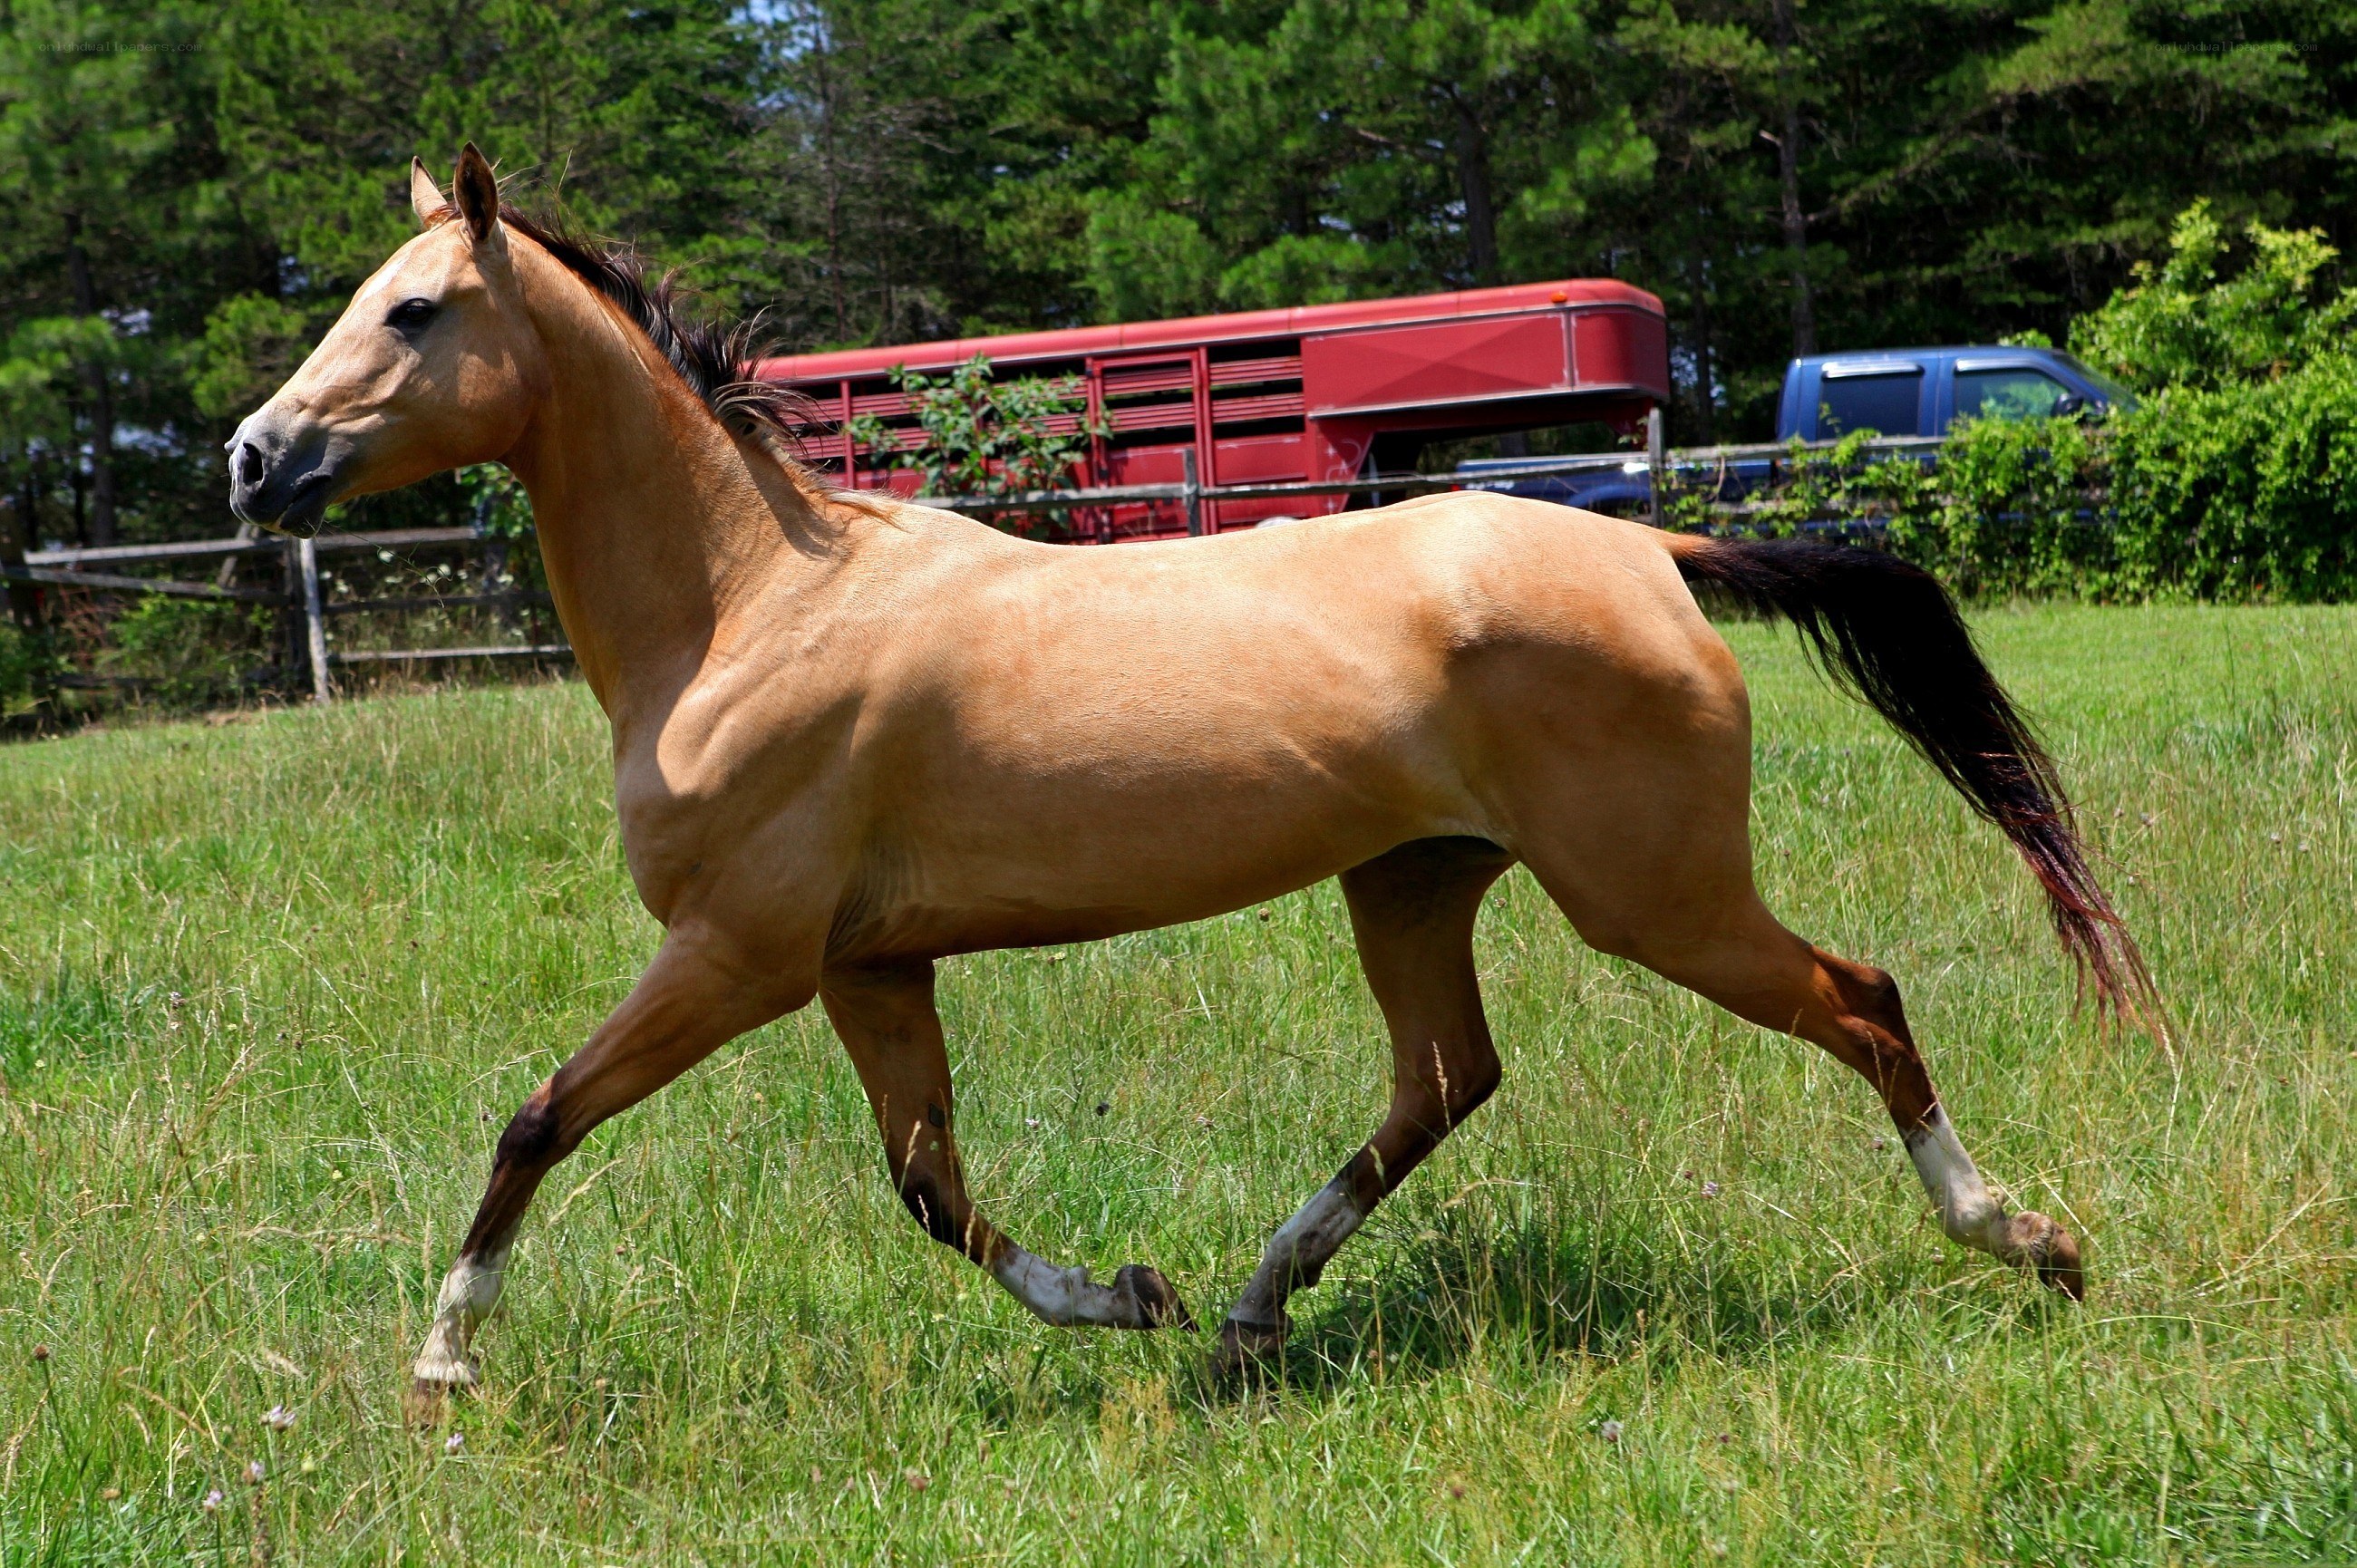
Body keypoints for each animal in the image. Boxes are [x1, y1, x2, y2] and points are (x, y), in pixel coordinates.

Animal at [227, 146, 2152, 1399]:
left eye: (411, 312)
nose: (254, 459)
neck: (756, 602)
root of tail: (1656, 551)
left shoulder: (739, 954)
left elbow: (541, 1116)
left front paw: (446, 1358)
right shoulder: (866, 966)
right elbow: (931, 1189)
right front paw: (1130, 1300)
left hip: (1653, 895)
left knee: (1861, 1001)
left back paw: (2031, 1243)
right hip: (1416, 881)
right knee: (1445, 1081)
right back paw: (1243, 1312)